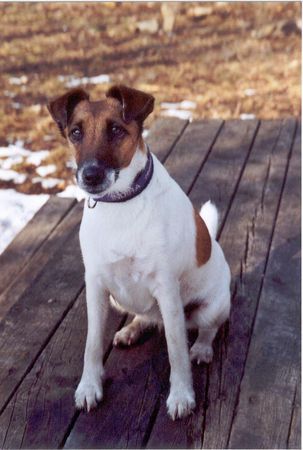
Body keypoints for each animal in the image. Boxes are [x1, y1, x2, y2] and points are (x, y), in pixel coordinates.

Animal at [48, 86, 232, 420]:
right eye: (75, 133)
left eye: (116, 130)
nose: (90, 176)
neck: (120, 203)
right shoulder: (96, 287)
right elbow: (92, 344)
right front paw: (89, 387)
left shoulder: (167, 290)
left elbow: (176, 349)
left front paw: (181, 395)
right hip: (118, 299)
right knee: (147, 317)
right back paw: (132, 330)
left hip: (211, 307)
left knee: (206, 329)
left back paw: (201, 348)